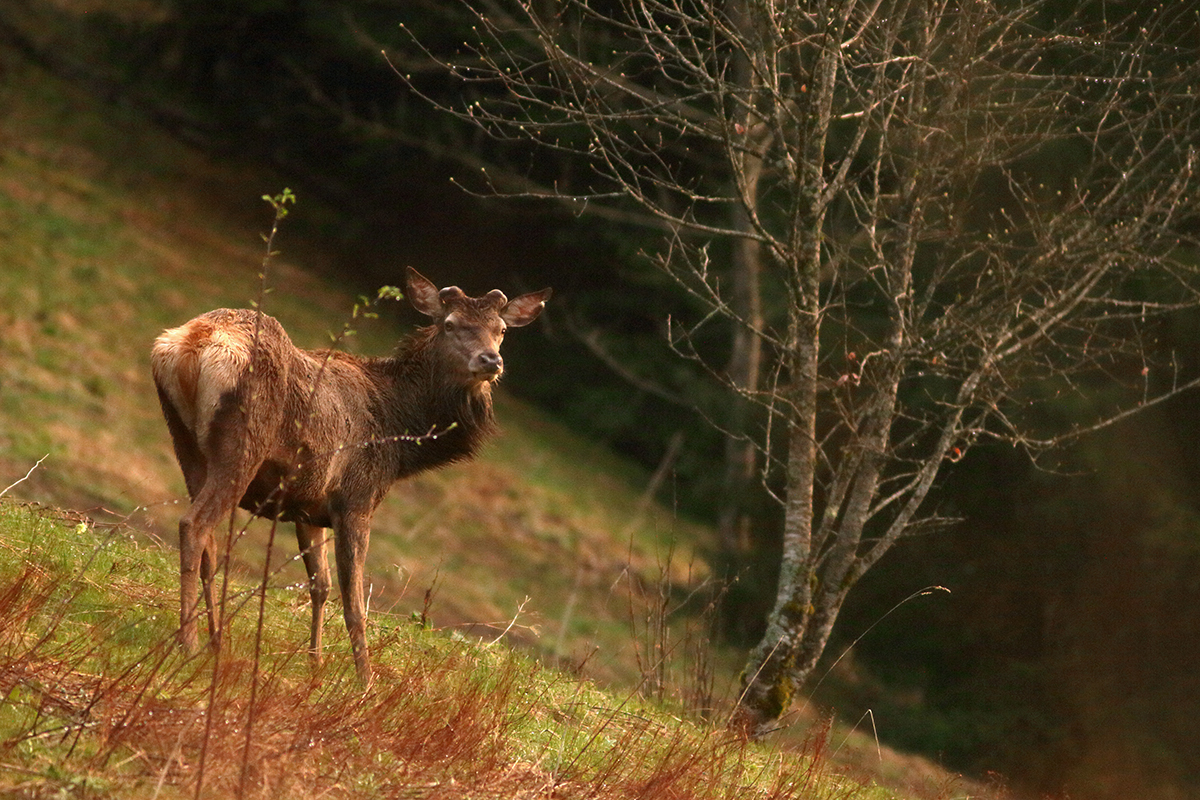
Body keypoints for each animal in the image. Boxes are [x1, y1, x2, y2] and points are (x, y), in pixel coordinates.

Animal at [146, 267, 552, 681]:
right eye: (451, 324)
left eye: (501, 329)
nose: (491, 361)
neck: (399, 435)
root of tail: (189, 345)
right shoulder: (356, 498)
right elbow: (355, 602)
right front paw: (364, 679)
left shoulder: (307, 505)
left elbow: (320, 585)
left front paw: (316, 661)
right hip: (242, 444)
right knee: (195, 525)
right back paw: (189, 642)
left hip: (185, 441)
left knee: (208, 541)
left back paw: (213, 641)